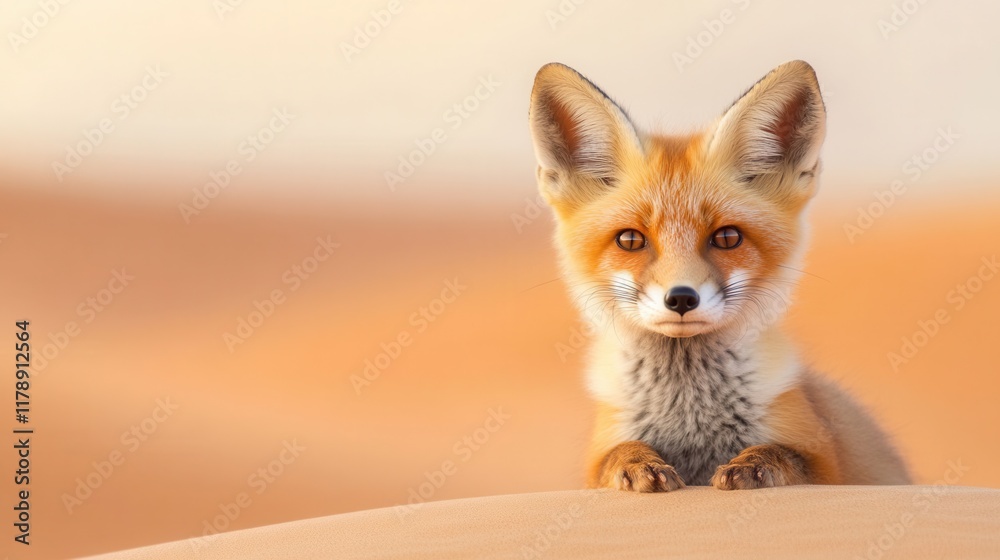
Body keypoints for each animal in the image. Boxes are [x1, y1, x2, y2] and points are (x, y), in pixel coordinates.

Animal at [528, 60, 911, 491]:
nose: (681, 298)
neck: (689, 413)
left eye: (727, 237)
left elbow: (783, 453)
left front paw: (753, 465)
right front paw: (637, 463)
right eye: (630, 240)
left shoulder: (823, 460)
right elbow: (617, 454)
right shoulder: (602, 452)